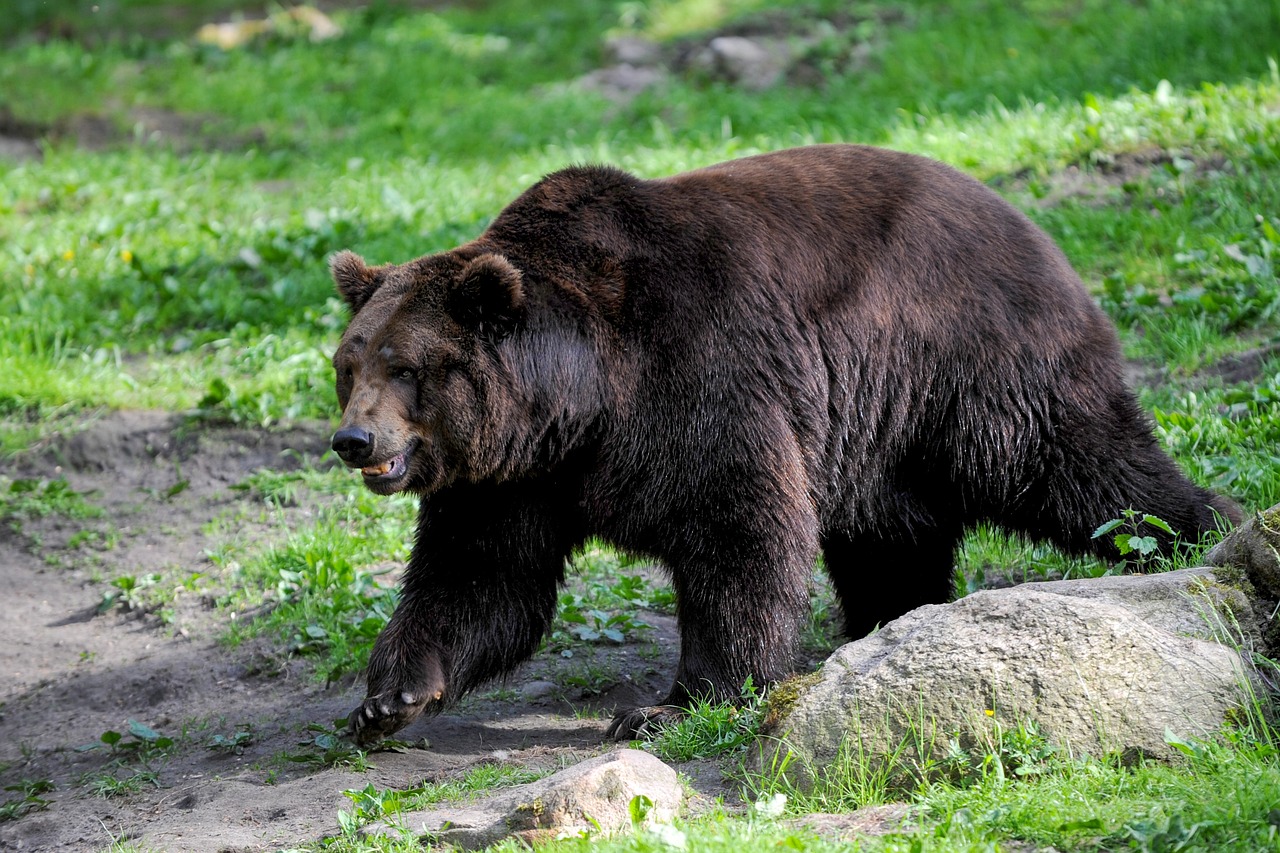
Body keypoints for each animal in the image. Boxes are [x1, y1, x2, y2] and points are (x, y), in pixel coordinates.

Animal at [328, 144, 1237, 745]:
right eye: (348, 362)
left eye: (406, 365)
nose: (352, 439)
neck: (579, 400)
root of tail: (1035, 227)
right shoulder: (513, 477)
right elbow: (482, 578)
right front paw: (387, 697)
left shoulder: (697, 376)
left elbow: (739, 529)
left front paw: (669, 703)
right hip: (879, 431)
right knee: (890, 536)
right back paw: (882, 622)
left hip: (972, 367)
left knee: (1085, 471)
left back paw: (1200, 532)